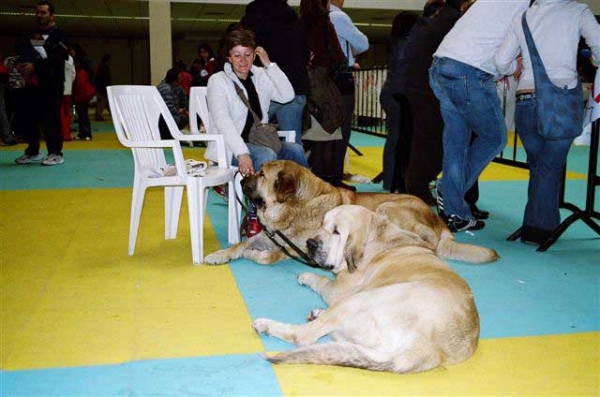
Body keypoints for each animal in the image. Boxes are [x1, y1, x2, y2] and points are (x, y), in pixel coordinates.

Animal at [204, 159, 500, 264]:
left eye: (262, 174)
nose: (241, 179)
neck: (296, 209)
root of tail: (440, 221)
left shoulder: (295, 247)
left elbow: (268, 256)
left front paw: (256, 256)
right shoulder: (270, 236)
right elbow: (241, 244)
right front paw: (220, 255)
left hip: (388, 206)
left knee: (425, 243)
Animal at [252, 204, 478, 372]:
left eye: (336, 232)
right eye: (322, 224)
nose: (310, 243)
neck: (374, 237)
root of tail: (427, 350)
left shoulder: (338, 290)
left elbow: (322, 281)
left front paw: (307, 276)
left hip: (360, 299)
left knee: (305, 335)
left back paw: (267, 324)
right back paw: (318, 314)